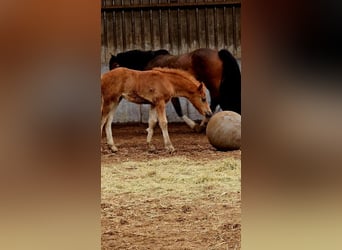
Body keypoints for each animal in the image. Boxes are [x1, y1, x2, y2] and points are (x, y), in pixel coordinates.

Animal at [109, 48, 240, 132]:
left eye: (115, 65)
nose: (112, 78)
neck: (150, 61)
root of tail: (218, 53)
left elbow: (178, 109)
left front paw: (193, 125)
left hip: (212, 85)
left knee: (215, 100)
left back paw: (203, 123)